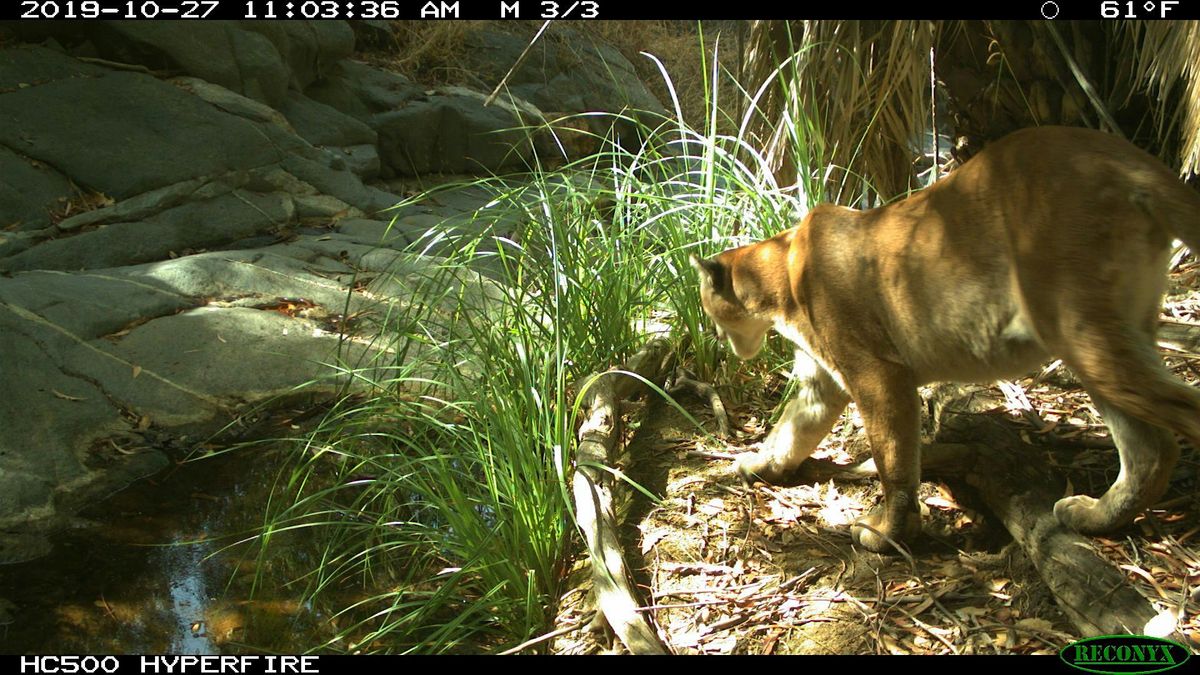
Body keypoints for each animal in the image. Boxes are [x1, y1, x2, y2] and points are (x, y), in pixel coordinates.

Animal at [691, 126, 1200, 552]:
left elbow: (893, 459)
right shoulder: (824, 381)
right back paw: (1095, 516)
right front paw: (760, 464)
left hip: (1079, 329)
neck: (782, 272)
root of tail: (1119, 152)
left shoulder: (878, 373)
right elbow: (792, 428)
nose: (715, 336)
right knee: (1151, 448)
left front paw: (888, 533)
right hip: (1100, 338)